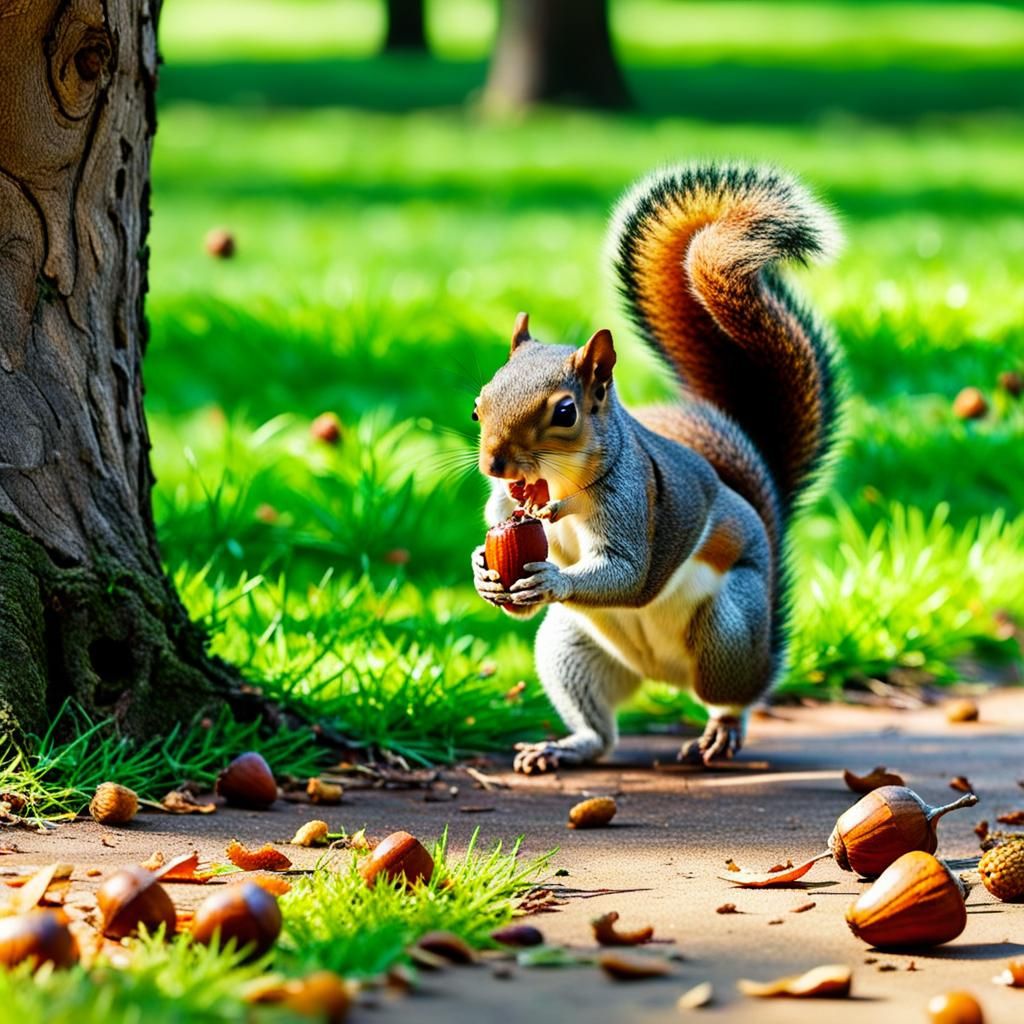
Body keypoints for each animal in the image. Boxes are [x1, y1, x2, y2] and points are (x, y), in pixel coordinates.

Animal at [471, 162, 841, 774]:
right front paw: (482, 568)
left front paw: (551, 578)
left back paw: (722, 729)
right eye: (479, 404)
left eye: (566, 412)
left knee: (737, 695)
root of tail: (663, 678)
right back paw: (564, 747)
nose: (496, 463)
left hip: (728, 632)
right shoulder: (505, 505)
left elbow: (631, 574)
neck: (559, 486)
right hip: (568, 646)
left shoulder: (633, 498)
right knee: (600, 731)